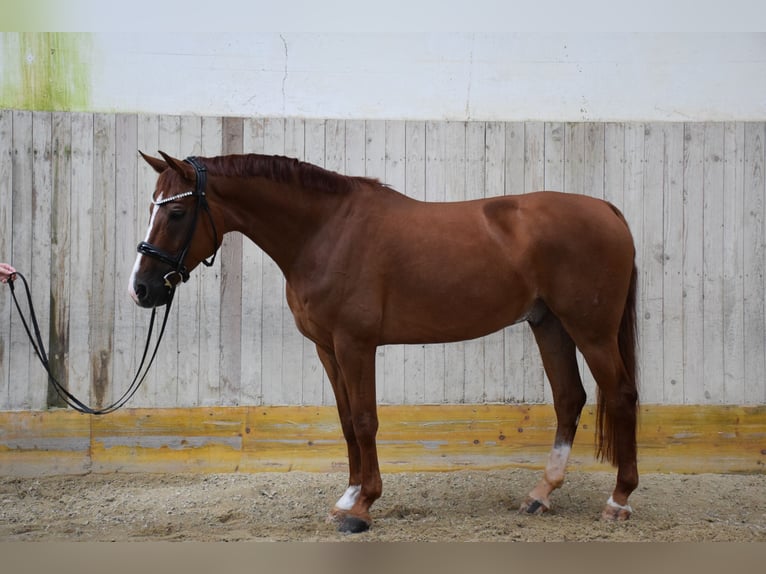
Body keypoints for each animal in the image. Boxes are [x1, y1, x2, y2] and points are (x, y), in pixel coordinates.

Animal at [129, 152, 640, 536]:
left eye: (177, 211)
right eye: (150, 207)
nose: (142, 289)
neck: (325, 231)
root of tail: (609, 210)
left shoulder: (355, 344)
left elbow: (364, 420)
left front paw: (362, 508)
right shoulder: (328, 348)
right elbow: (345, 423)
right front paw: (348, 497)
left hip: (590, 330)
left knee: (620, 395)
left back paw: (619, 501)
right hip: (548, 324)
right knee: (569, 397)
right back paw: (540, 495)